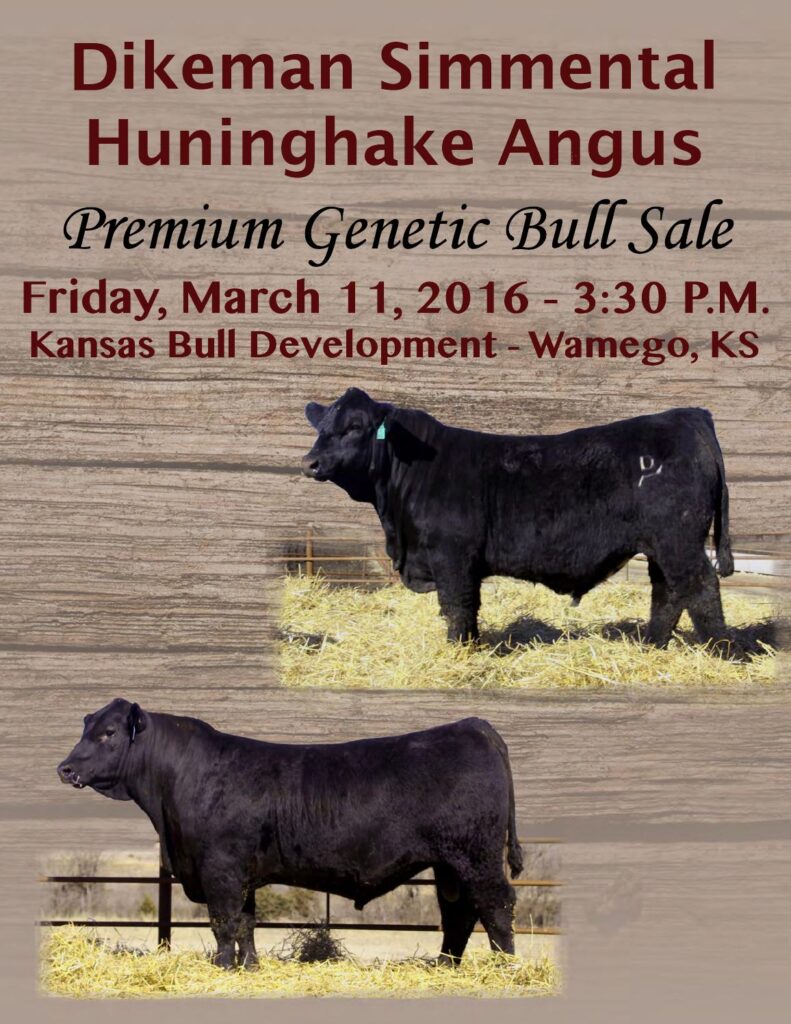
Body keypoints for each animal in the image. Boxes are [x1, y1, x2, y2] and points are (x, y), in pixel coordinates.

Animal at [57, 700, 523, 968]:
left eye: (108, 733)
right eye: (86, 728)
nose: (65, 768)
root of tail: (473, 726)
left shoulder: (220, 868)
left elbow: (223, 922)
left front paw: (222, 967)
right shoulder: (241, 872)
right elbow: (246, 923)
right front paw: (249, 967)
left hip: (477, 856)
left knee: (496, 905)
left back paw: (505, 968)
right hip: (449, 865)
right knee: (459, 912)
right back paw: (444, 966)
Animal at [302, 388, 738, 653]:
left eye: (355, 427)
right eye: (321, 428)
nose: (310, 462)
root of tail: (688, 415)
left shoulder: (452, 556)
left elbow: (457, 606)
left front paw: (459, 651)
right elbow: (466, 607)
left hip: (678, 540)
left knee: (701, 586)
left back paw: (722, 653)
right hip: (661, 545)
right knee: (668, 592)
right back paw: (653, 646)